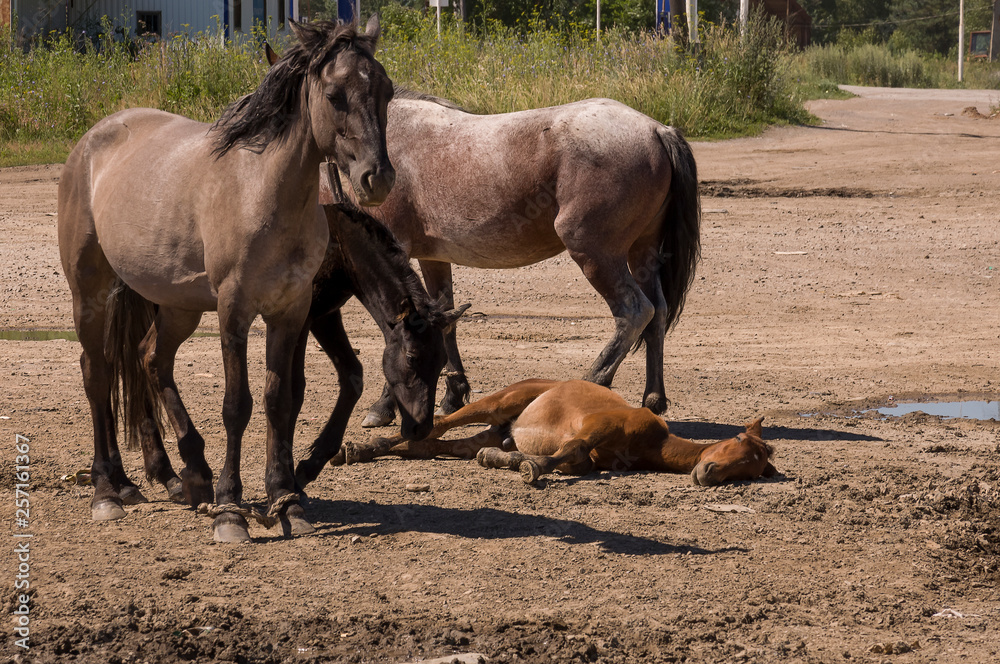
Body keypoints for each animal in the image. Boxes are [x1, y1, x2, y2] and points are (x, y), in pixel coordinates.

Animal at [58, 18, 395, 543]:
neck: (263, 192)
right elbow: (238, 406)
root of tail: (92, 140)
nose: (376, 179)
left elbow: (280, 401)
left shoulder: (290, 311)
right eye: (335, 94)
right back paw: (107, 492)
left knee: (150, 358)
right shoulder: (234, 310)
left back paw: (180, 475)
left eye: (386, 91)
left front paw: (286, 500)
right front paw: (231, 510)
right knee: (97, 373)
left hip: (178, 307)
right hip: (89, 292)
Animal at [356, 89, 702, 426]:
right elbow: (445, 320)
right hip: (641, 252)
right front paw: (453, 396)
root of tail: (657, 130)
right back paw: (653, 399)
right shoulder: (434, 258)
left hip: (597, 255)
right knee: (657, 312)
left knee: (635, 311)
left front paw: (384, 406)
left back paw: (592, 383)